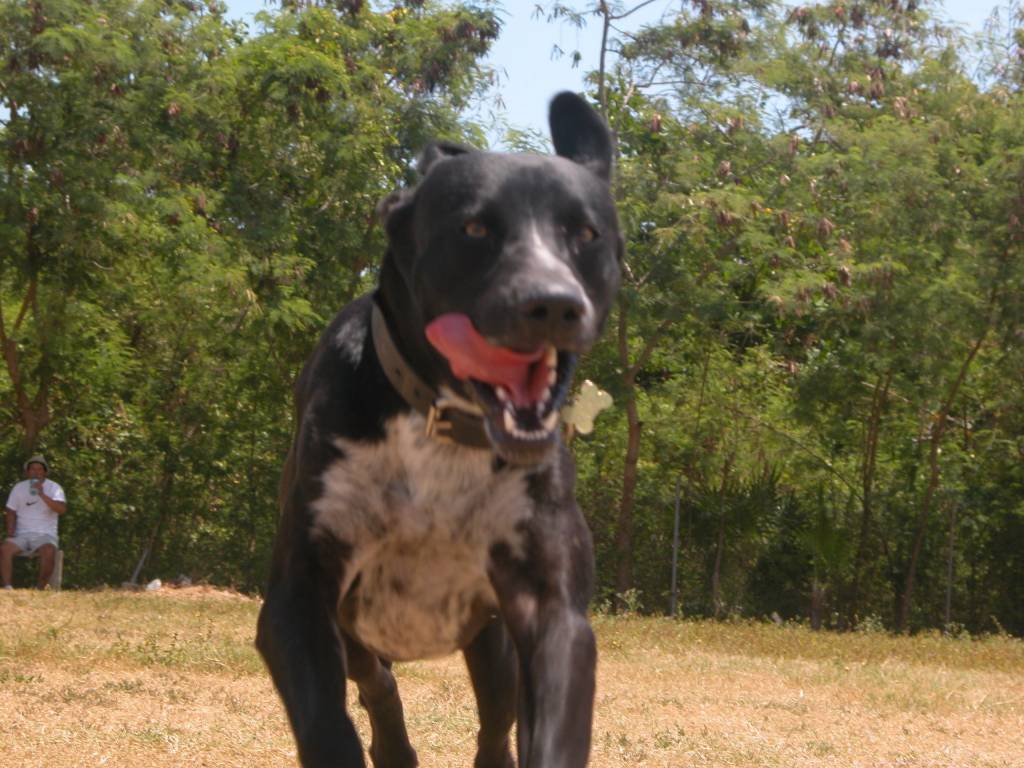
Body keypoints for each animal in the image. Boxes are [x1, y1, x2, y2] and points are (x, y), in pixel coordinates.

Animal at [256, 91, 623, 768]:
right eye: (474, 229)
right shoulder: (298, 600)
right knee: (377, 682)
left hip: (492, 646)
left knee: (495, 723)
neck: (443, 427)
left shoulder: (550, 607)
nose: (554, 303)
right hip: (356, 637)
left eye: (586, 234)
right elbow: (327, 725)